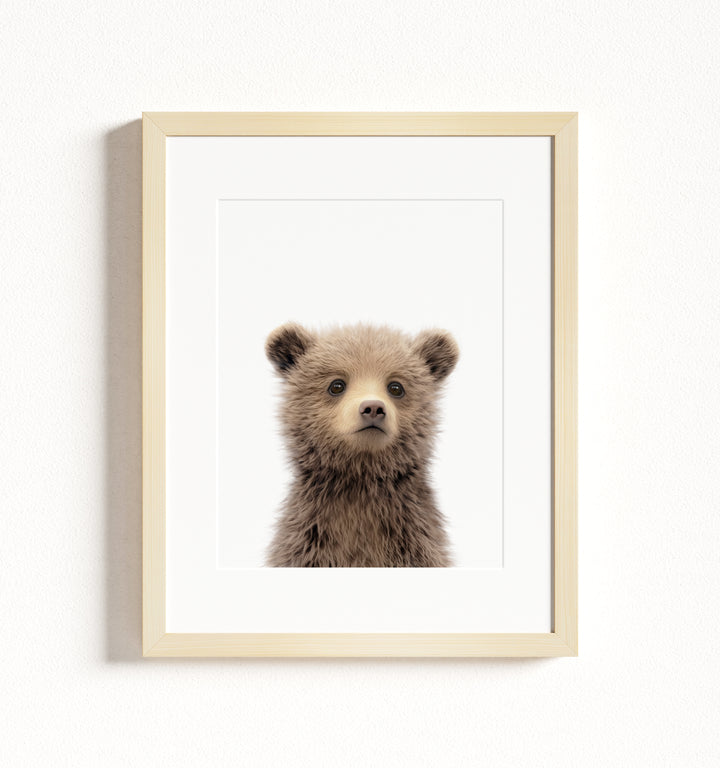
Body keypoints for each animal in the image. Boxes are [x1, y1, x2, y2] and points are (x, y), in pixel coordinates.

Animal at [264, 322, 459, 567]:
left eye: (396, 387)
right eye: (336, 385)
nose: (373, 408)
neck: (360, 479)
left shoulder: (413, 540)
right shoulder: (309, 540)